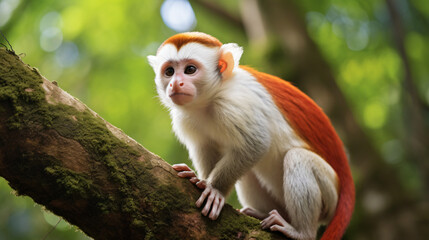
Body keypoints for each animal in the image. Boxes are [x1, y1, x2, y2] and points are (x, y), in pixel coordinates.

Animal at [147, 32, 354, 240]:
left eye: (190, 69)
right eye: (169, 71)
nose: (175, 83)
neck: (210, 99)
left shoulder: (234, 103)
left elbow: (256, 145)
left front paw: (214, 188)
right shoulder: (185, 118)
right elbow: (206, 146)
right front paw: (200, 178)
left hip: (330, 194)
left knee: (297, 157)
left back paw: (302, 232)